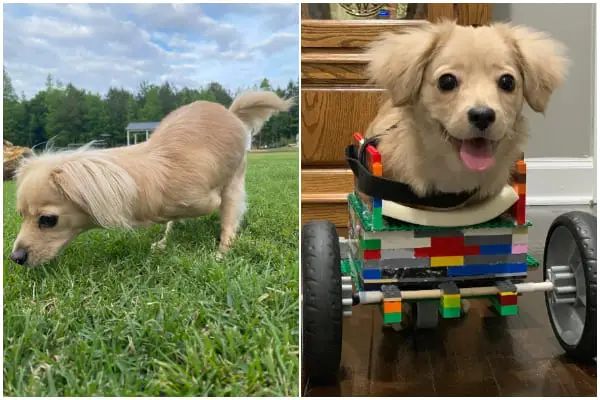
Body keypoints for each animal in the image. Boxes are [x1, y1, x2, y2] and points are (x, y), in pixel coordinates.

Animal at [9, 90, 296, 266]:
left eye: (48, 220)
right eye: (21, 216)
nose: (15, 258)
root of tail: (231, 112)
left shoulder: (209, 199)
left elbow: (225, 216)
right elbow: (172, 220)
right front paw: (165, 238)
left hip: (234, 180)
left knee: (228, 215)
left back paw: (222, 251)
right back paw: (164, 241)